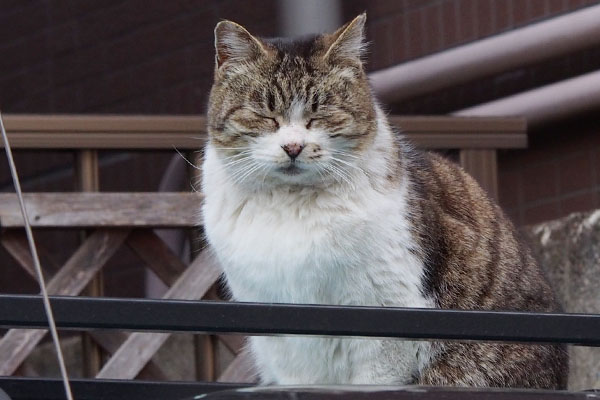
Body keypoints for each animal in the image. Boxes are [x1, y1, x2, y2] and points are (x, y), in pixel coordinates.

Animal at [200, 14, 568, 388]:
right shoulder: (275, 331)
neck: (293, 207)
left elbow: (374, 377)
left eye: (321, 115)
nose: (293, 147)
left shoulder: (385, 314)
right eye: (265, 115)